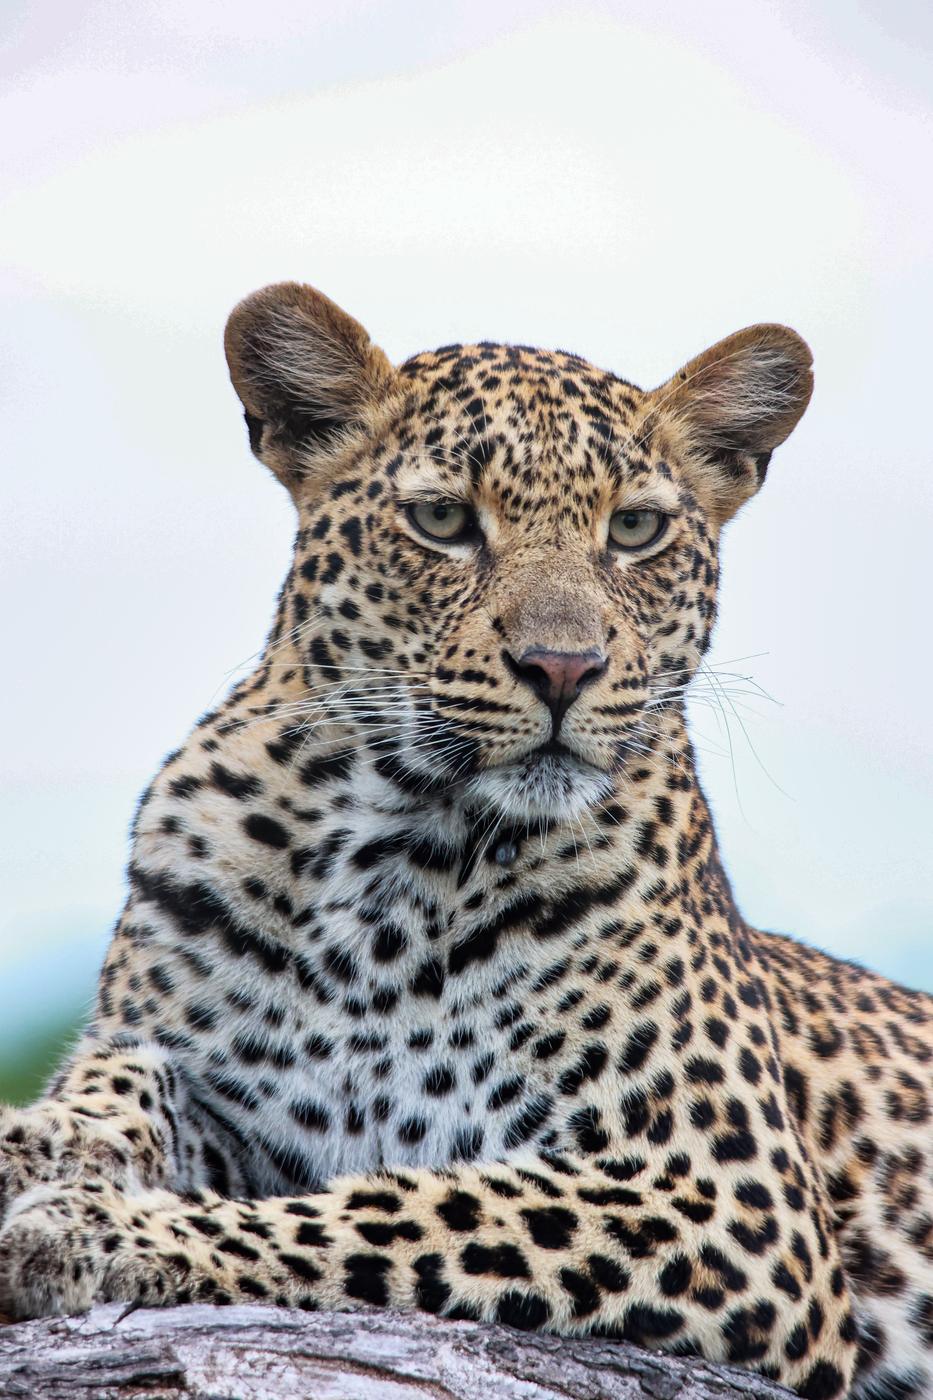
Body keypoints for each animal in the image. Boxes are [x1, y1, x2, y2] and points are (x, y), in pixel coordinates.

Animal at [1, 281, 930, 1399]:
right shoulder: (221, 1096)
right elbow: (121, 1082)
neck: (383, 857)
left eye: (634, 529)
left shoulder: (728, 1198)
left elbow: (400, 1210)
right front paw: (40, 1146)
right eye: (443, 520)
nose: (563, 666)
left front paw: (92, 1232)